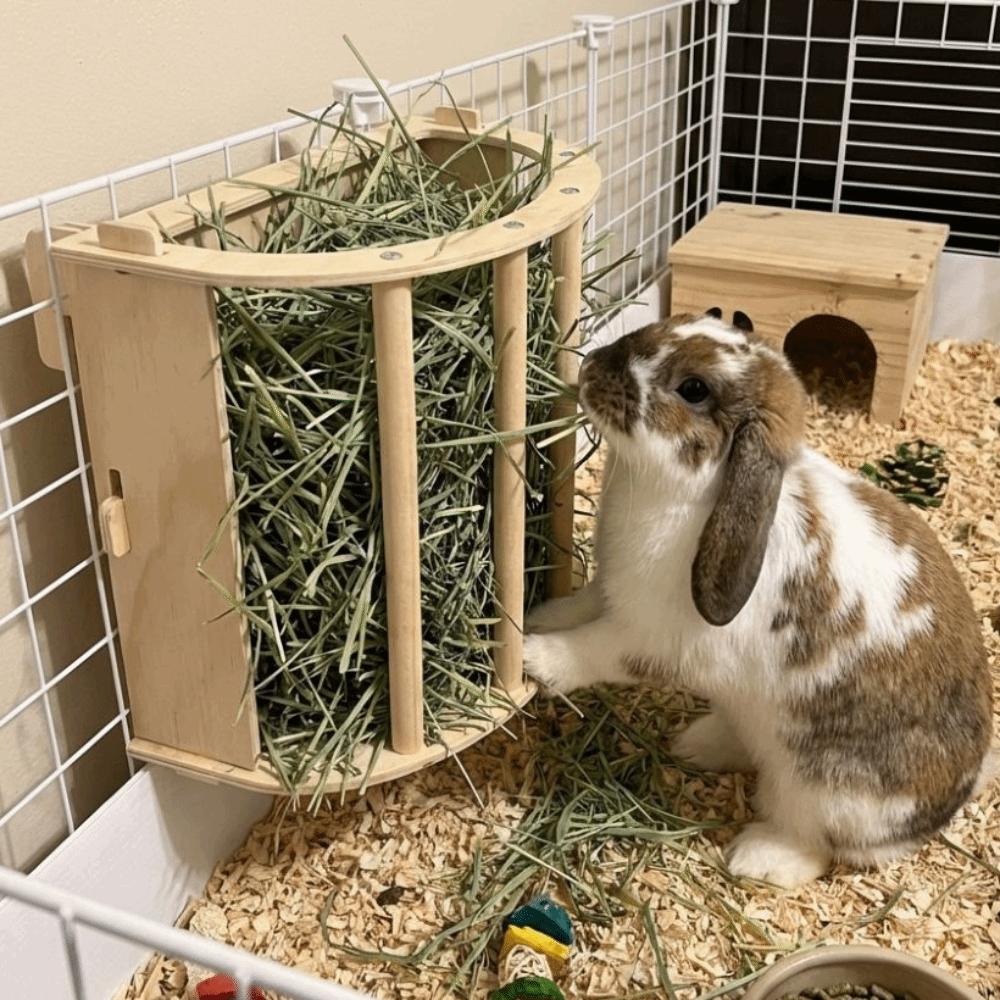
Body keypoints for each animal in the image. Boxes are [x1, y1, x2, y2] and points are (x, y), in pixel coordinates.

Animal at [524, 308, 994, 888]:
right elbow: (580, 607)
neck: (704, 496)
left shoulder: (646, 638)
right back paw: (697, 743)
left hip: (820, 790)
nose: (591, 366)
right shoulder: (610, 593)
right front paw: (536, 617)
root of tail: (950, 799)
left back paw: (758, 858)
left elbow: (591, 650)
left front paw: (535, 658)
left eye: (694, 389)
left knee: (817, 845)